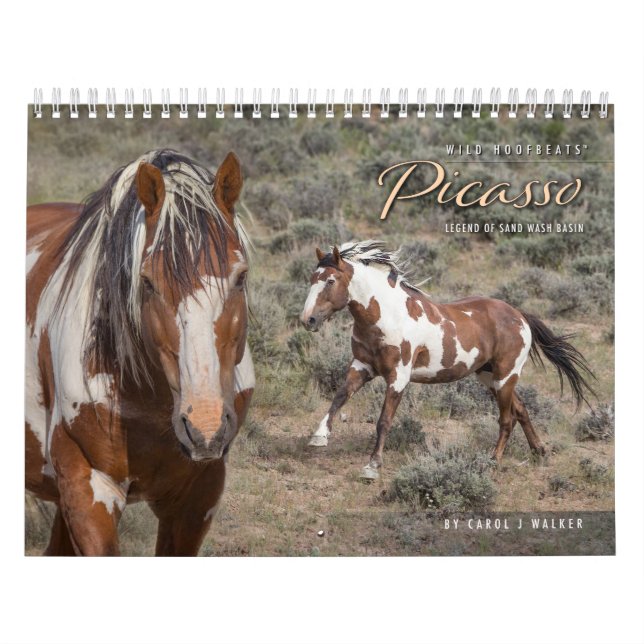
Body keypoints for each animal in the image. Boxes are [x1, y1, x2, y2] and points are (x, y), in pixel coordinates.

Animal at [300, 241, 596, 479]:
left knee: (507, 419)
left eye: (330, 281)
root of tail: (519, 315)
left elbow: (384, 420)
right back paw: (540, 452)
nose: (308, 320)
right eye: (312, 279)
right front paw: (319, 437)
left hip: (505, 376)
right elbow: (339, 397)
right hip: (489, 377)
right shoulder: (361, 366)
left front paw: (372, 467)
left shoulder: (398, 376)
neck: (386, 316)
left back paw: (493, 462)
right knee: (521, 410)